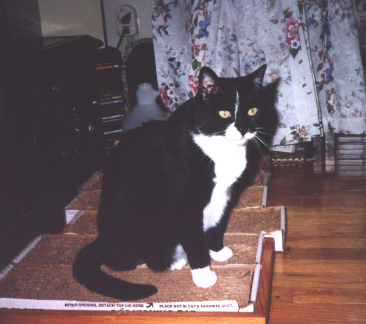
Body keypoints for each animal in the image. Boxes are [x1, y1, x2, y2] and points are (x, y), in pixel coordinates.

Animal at [72, 63, 278, 302]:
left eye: (252, 111)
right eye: (224, 113)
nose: (243, 129)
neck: (220, 148)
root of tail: (101, 239)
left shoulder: (224, 195)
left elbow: (216, 225)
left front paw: (217, 251)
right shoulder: (185, 202)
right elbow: (194, 239)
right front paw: (203, 273)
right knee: (127, 260)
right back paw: (172, 261)